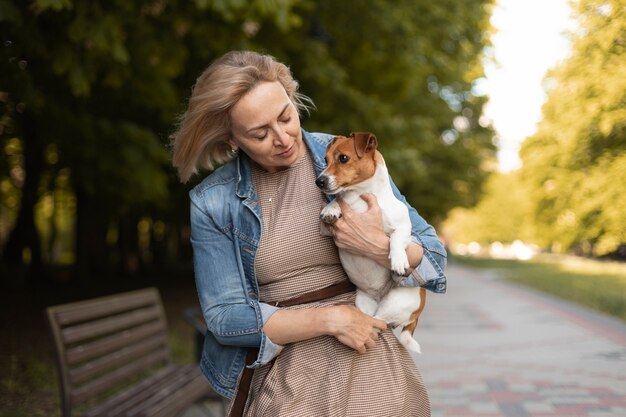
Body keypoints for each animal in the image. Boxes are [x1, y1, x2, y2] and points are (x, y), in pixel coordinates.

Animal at [314, 132, 426, 352]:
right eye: (325, 159)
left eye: (343, 158)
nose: (319, 181)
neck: (361, 197)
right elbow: (339, 199)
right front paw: (332, 208)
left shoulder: (404, 228)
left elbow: (396, 239)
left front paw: (398, 260)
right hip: (364, 303)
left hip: (396, 301)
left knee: (379, 323)